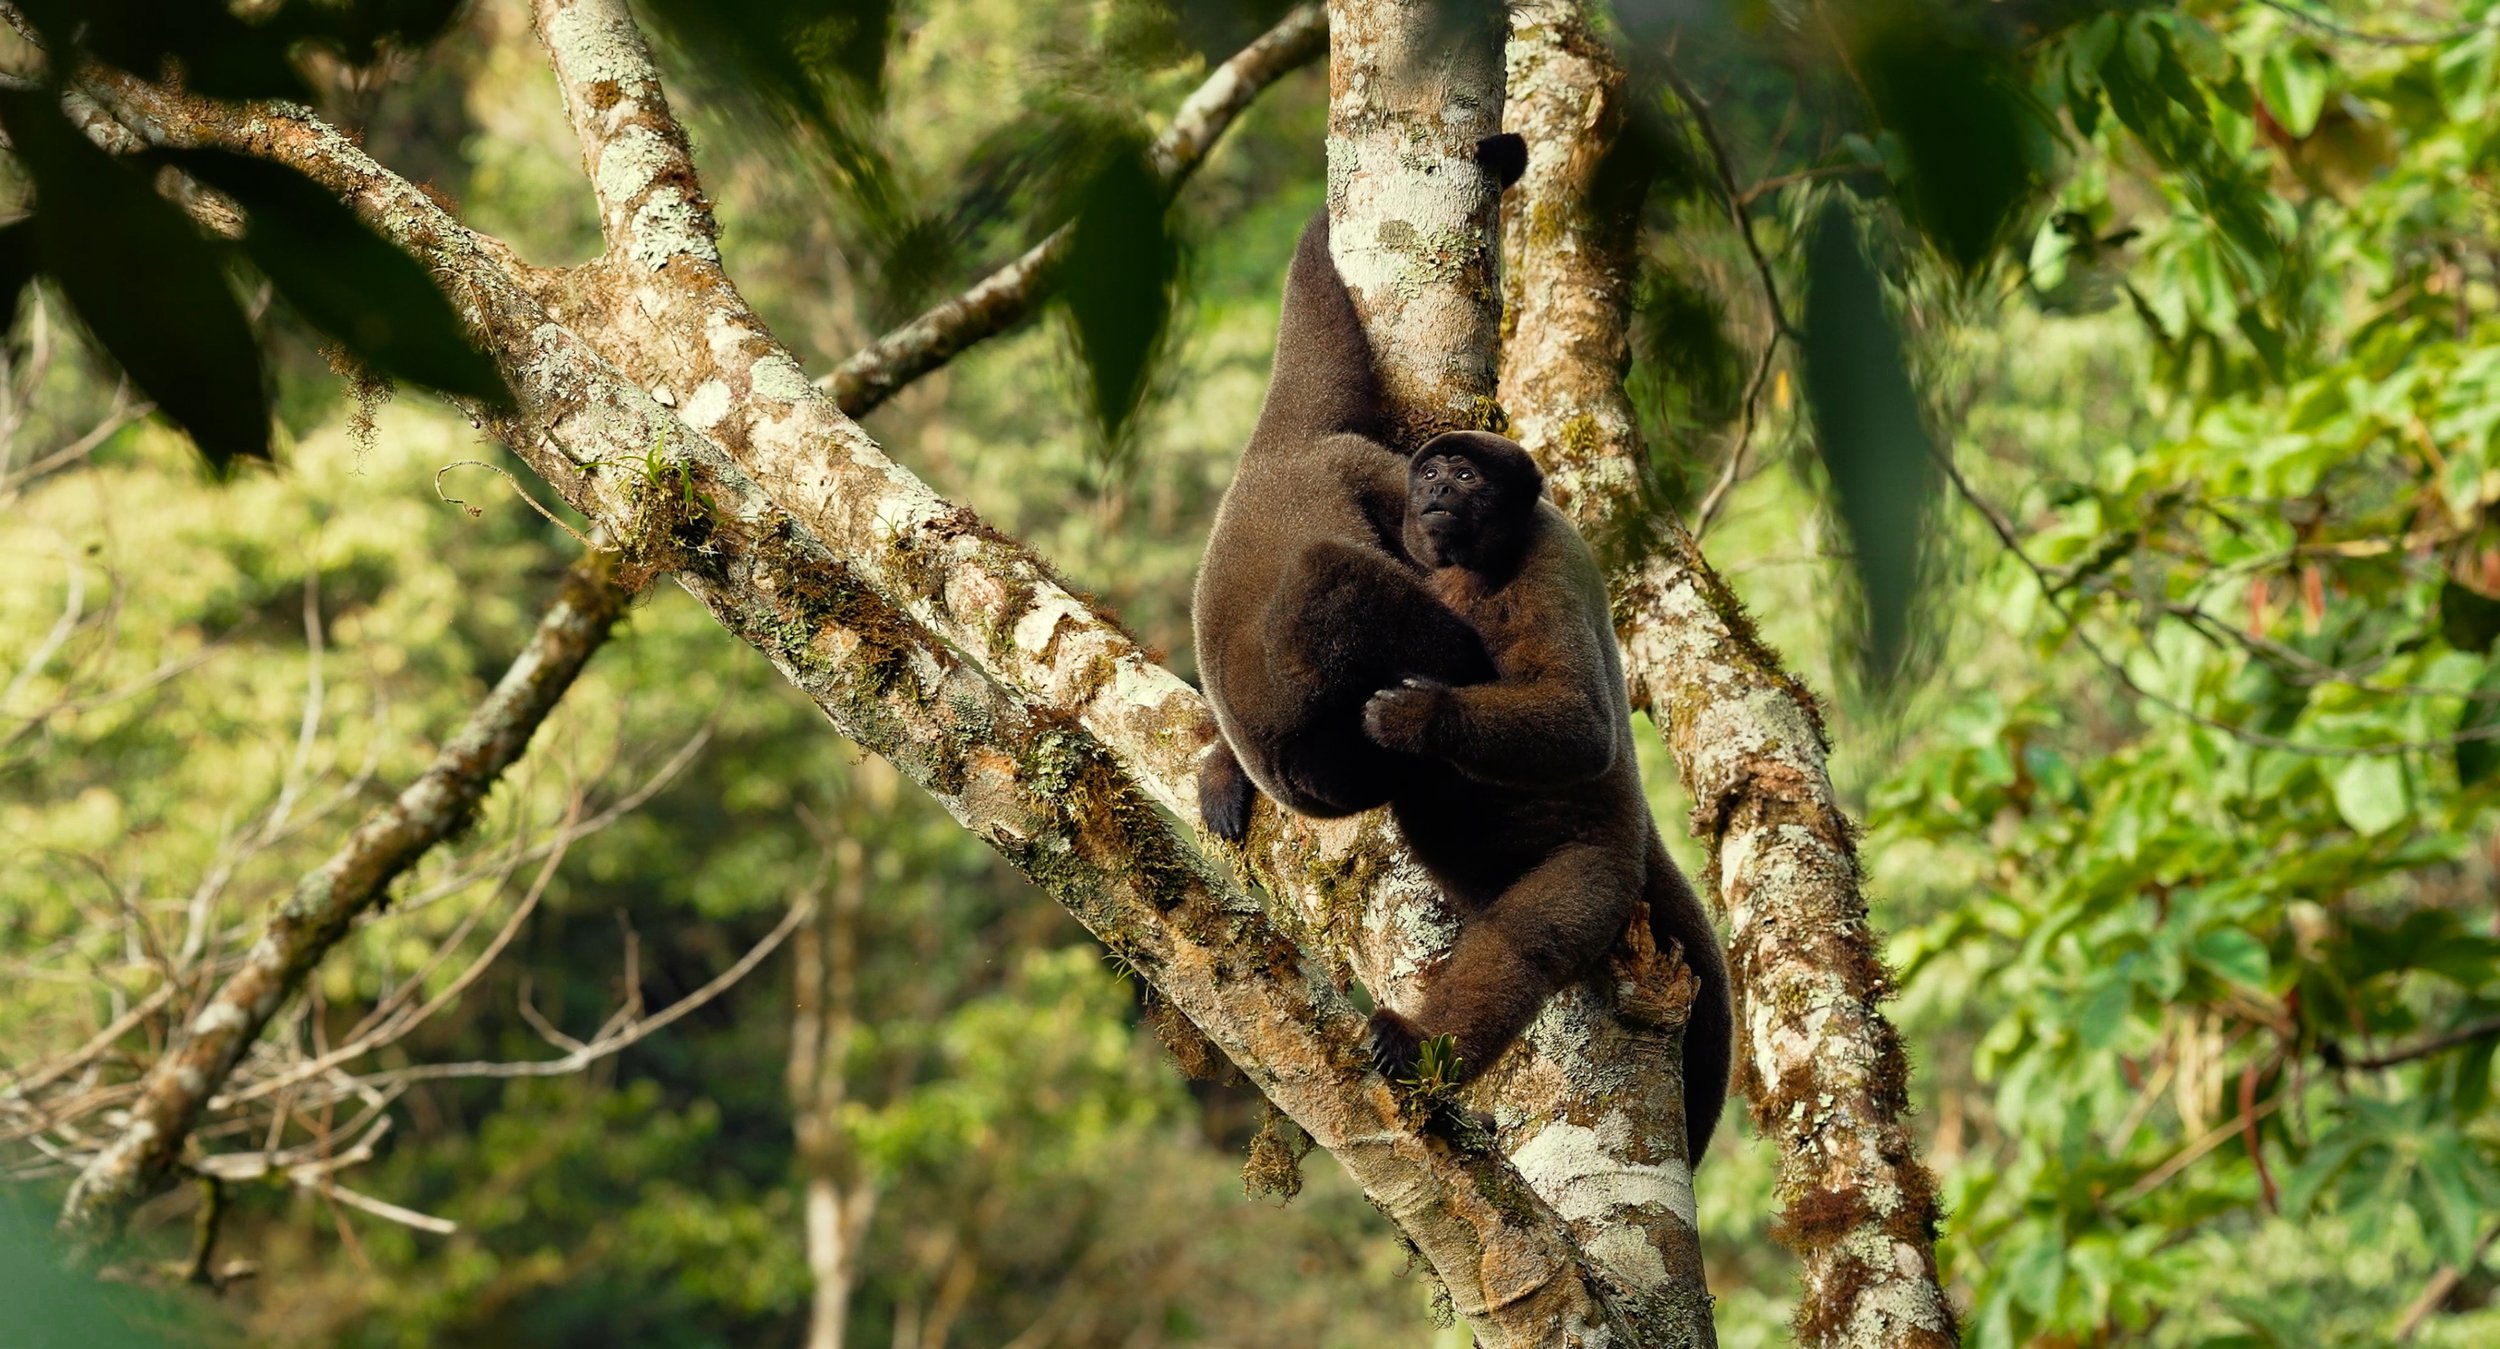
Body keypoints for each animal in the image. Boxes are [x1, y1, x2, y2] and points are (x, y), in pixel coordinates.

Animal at [1359, 430, 1734, 1165]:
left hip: (1602, 870)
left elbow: (1583, 723)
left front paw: (1421, 716)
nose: (1434, 488)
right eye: (1431, 471)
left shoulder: (1549, 561)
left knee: (1522, 941)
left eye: (1466, 475)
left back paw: (1416, 1048)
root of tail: (1639, 838)